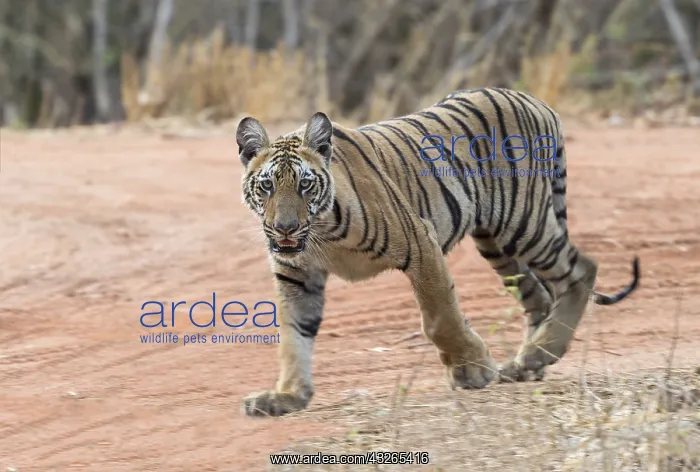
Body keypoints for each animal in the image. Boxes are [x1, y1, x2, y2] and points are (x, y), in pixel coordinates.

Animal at [236, 87, 640, 417]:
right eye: (267, 186)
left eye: (305, 185)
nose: (285, 228)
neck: (319, 233)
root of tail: (538, 102)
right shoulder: (296, 276)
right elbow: (293, 337)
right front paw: (286, 397)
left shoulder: (420, 243)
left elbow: (439, 318)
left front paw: (472, 370)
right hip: (497, 243)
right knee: (540, 296)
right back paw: (528, 363)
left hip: (525, 223)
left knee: (582, 270)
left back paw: (536, 354)